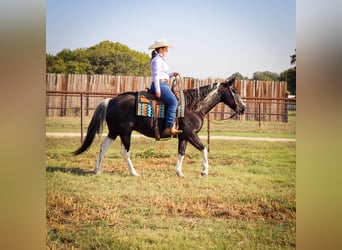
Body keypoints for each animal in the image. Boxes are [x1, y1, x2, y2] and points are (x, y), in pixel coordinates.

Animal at [73, 77, 246, 177]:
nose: (243, 108)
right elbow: (203, 148)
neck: (193, 106)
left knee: (103, 147)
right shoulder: (191, 134)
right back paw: (134, 173)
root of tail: (111, 100)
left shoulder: (183, 136)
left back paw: (97, 170)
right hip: (125, 132)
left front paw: (179, 172)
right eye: (234, 90)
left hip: (114, 132)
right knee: (124, 151)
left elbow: (181, 152)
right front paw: (204, 171)